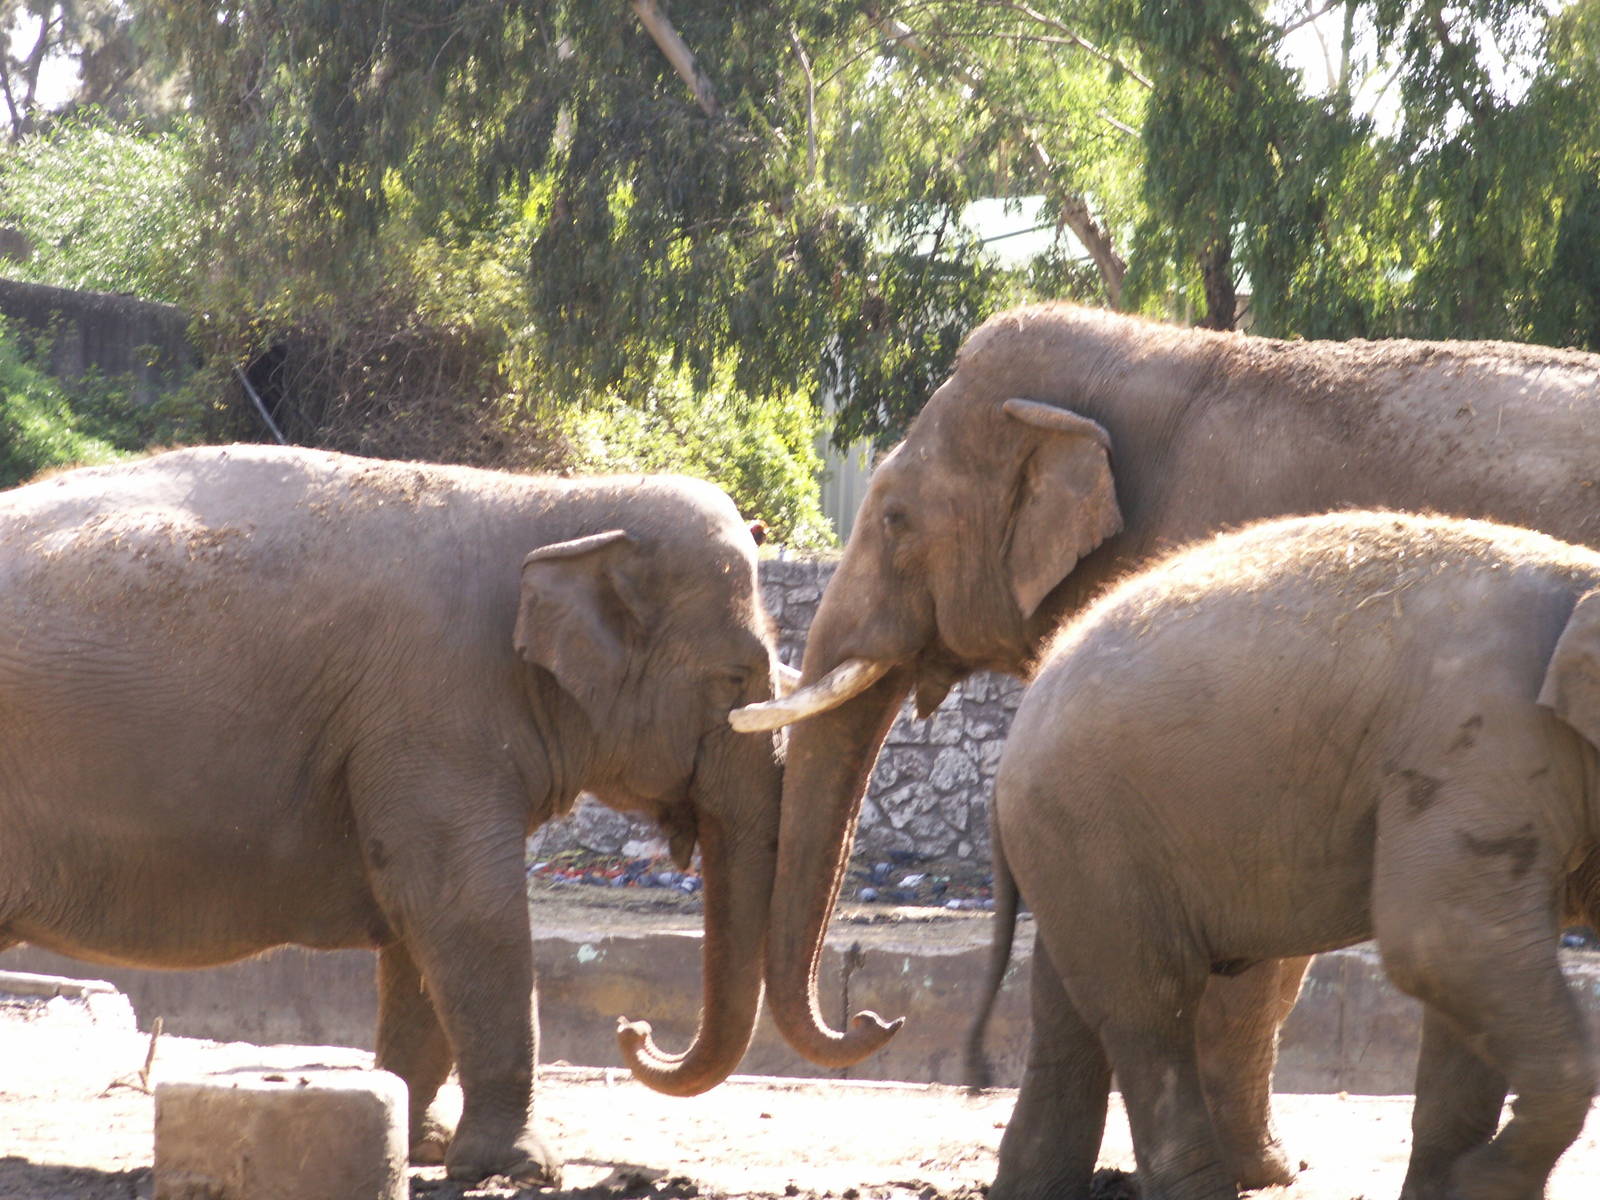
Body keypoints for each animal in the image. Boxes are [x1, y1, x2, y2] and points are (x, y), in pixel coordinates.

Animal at [0, 445, 788, 1186]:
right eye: (736, 678)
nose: (633, 1029)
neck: (556, 503)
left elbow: (421, 923)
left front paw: (421, 1144)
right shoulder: (435, 710)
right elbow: (465, 907)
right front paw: (522, 1167)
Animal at [988, 510, 1600, 1200]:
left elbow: (1464, 974)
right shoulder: (1484, 742)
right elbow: (1443, 940)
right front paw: (1481, 1180)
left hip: (1072, 846)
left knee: (1065, 1007)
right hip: (1093, 826)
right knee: (1152, 1005)